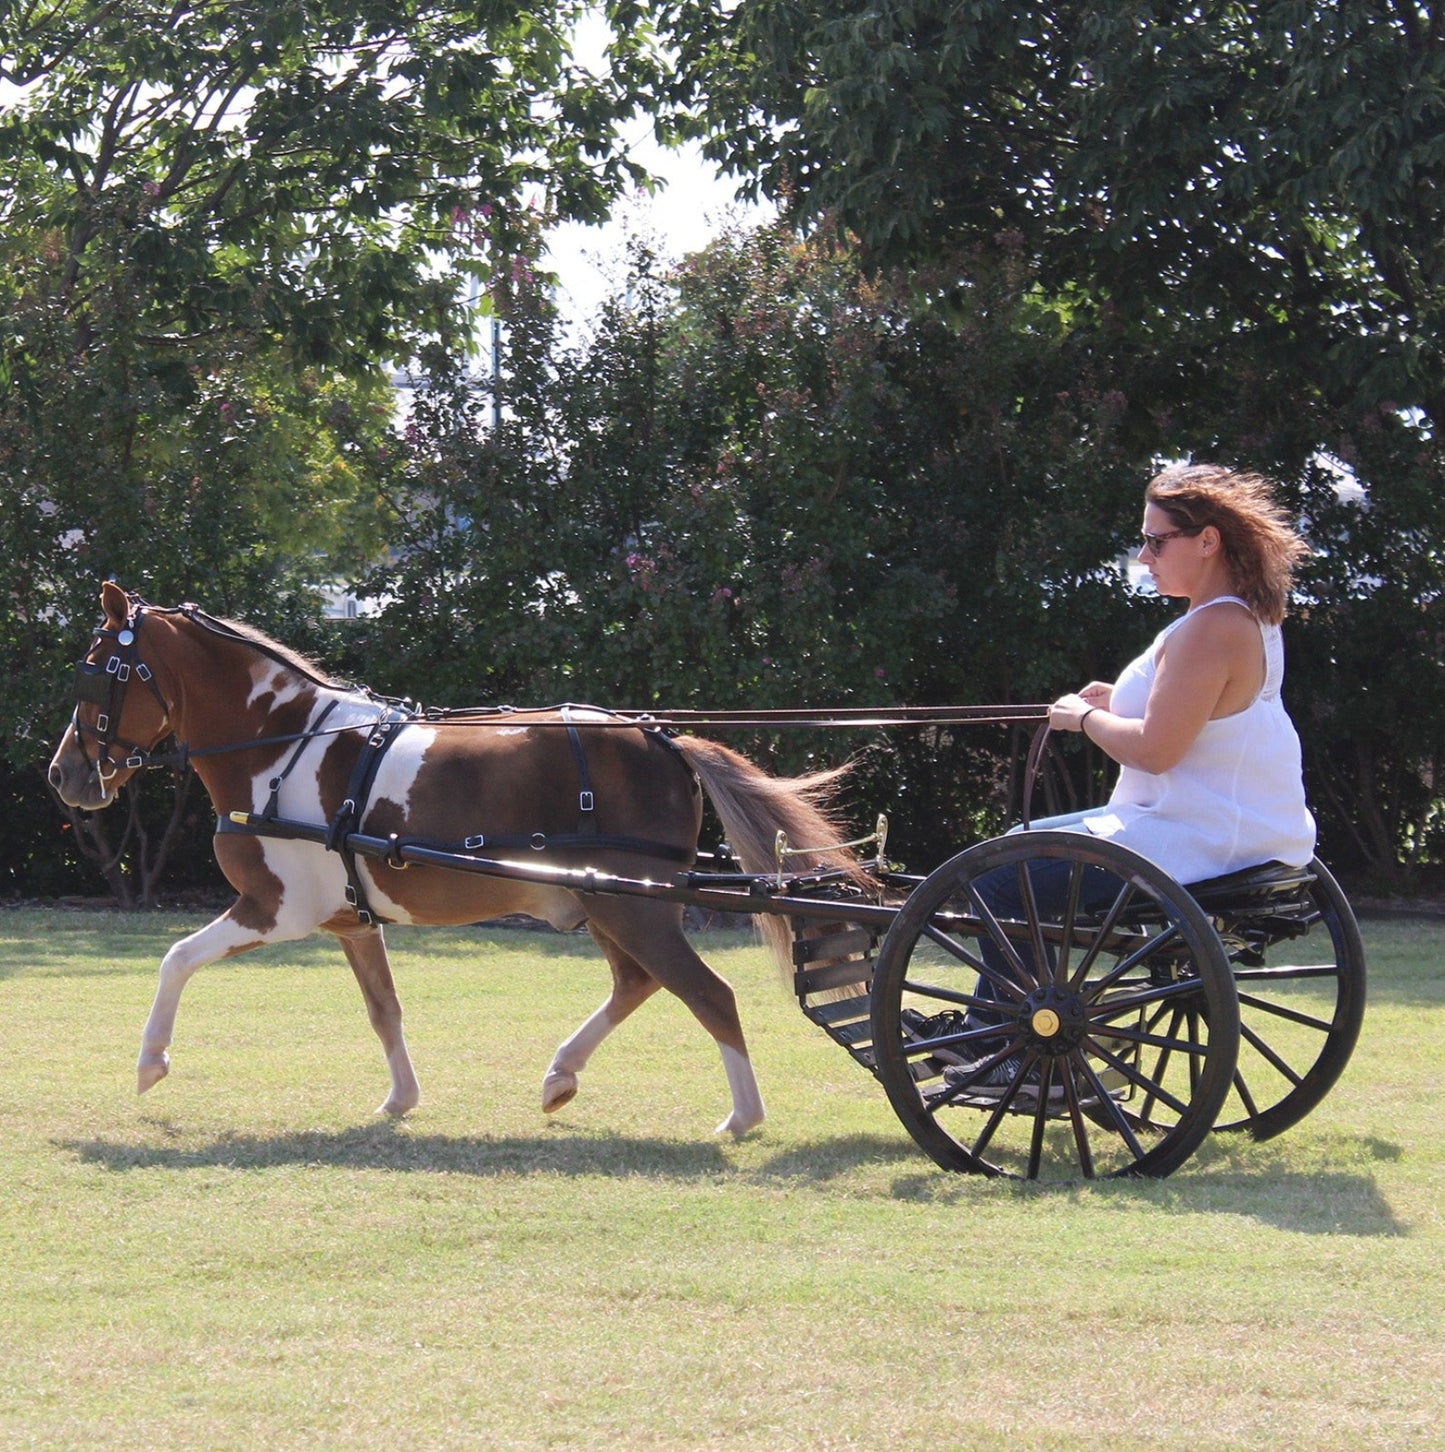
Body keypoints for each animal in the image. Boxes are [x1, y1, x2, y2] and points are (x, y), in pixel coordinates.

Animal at [47, 577, 871, 1132]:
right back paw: (560, 1075)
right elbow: (384, 1009)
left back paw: (742, 1117)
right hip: (609, 907)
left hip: (632, 907)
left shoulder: (275, 910)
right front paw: (399, 1099)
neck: (280, 746)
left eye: (93, 671)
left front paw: (150, 1063)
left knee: (708, 995)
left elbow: (176, 958)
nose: (65, 774)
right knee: (638, 984)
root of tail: (662, 740)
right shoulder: (349, 923)